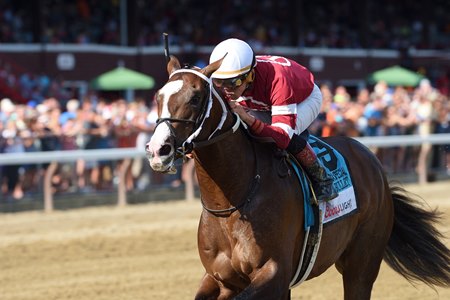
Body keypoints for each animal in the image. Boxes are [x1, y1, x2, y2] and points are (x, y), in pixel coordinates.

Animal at [146, 55, 448, 298]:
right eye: (158, 97)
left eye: (195, 98)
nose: (159, 150)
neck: (232, 200)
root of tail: (371, 159)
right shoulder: (221, 279)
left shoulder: (274, 273)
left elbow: (283, 131)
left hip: (361, 264)